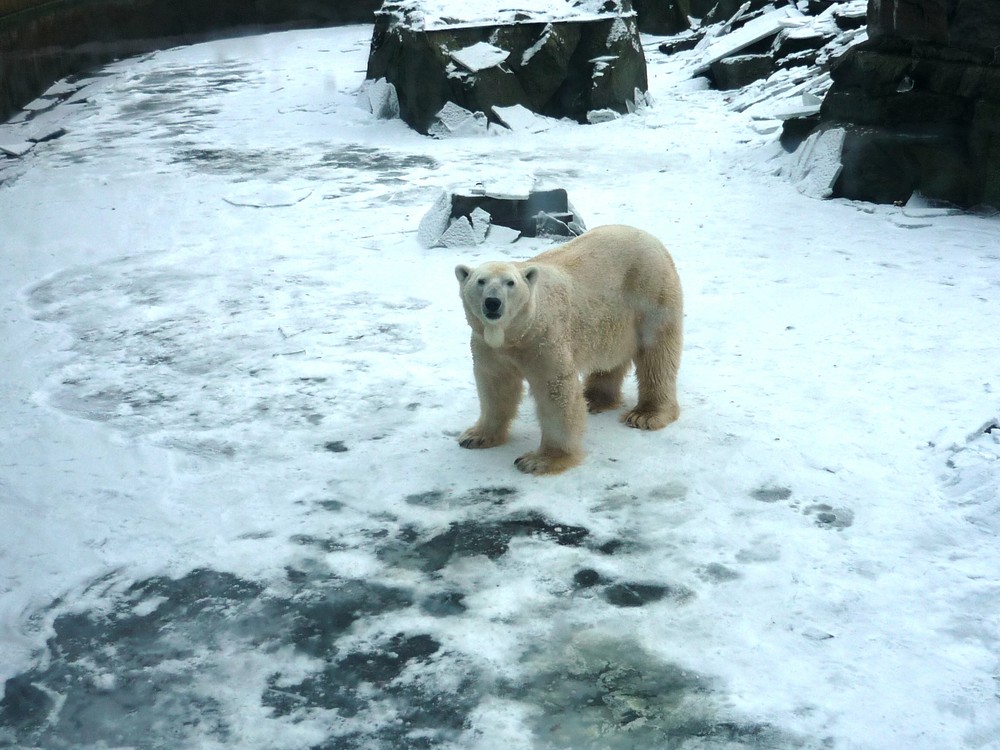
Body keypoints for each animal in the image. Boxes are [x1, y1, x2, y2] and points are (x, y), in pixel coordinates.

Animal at [458, 226, 684, 478]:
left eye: (510, 283)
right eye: (480, 281)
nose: (492, 302)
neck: (516, 335)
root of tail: (651, 238)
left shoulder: (544, 339)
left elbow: (555, 392)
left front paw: (540, 460)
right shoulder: (489, 346)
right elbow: (495, 386)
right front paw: (475, 436)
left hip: (650, 291)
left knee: (657, 355)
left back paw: (645, 414)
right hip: (611, 318)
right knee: (609, 357)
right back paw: (594, 399)